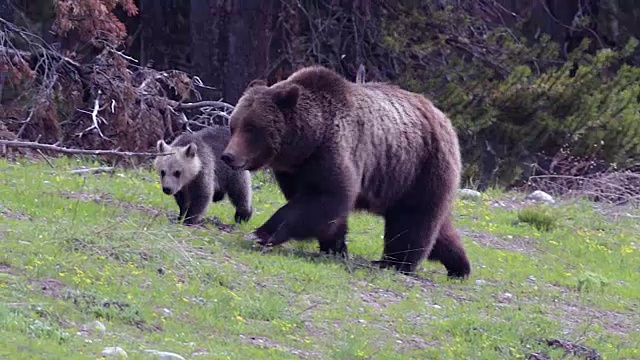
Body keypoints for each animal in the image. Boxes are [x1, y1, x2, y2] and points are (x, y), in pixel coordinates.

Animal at [220, 65, 470, 278]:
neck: (307, 141)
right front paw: (335, 247)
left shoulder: (335, 151)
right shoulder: (296, 171)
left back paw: (396, 263)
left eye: (251, 128)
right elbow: (324, 210)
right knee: (438, 226)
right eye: (234, 125)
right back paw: (459, 266)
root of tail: (443, 117)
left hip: (421, 166)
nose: (228, 156)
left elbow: (326, 199)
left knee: (413, 219)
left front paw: (262, 233)